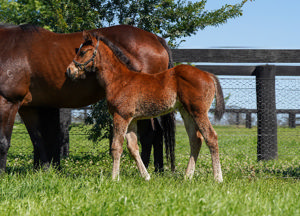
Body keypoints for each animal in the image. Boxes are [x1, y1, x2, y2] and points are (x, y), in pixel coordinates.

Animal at [67, 31, 224, 181]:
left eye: (82, 52)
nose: (69, 70)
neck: (119, 80)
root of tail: (209, 75)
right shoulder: (131, 119)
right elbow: (133, 147)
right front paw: (146, 176)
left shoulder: (121, 116)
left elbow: (116, 147)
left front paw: (114, 178)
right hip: (186, 112)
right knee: (196, 140)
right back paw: (187, 176)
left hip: (199, 112)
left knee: (211, 137)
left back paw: (218, 178)